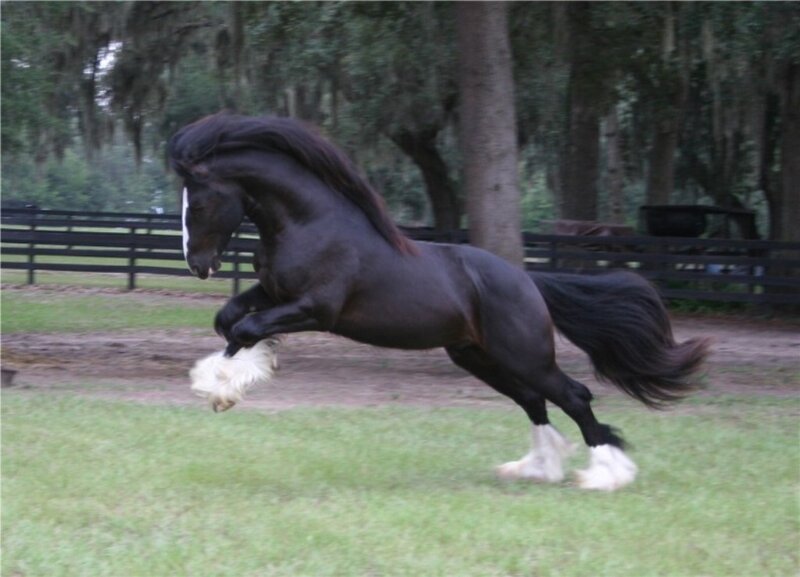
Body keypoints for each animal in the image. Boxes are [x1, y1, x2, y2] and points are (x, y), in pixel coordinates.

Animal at [169, 113, 709, 491]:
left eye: (199, 201)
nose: (198, 264)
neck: (310, 224)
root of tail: (528, 281)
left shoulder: (315, 309)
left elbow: (244, 330)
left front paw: (221, 390)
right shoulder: (274, 294)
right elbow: (230, 321)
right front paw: (233, 377)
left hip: (524, 355)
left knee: (574, 396)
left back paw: (605, 474)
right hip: (479, 357)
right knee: (534, 400)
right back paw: (534, 468)